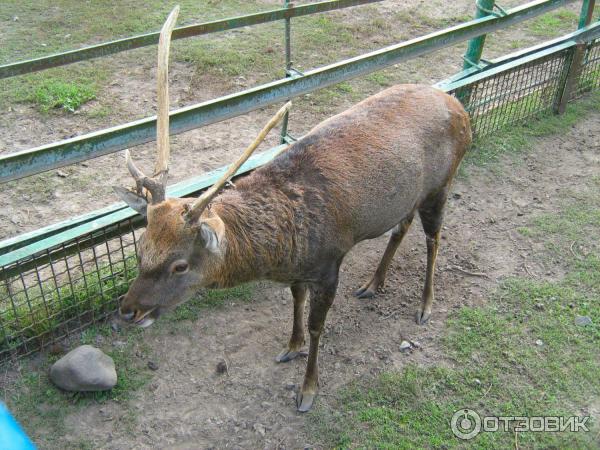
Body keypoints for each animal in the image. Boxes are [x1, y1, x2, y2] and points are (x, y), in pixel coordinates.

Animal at [115, 7, 472, 414]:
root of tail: (461, 108)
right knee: (402, 225)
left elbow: (318, 326)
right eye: (140, 250)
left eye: (180, 265)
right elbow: (295, 302)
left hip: (443, 183)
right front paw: (291, 346)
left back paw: (425, 304)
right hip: (409, 195)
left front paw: (308, 389)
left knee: (434, 238)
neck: (285, 248)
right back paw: (373, 284)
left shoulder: (330, 261)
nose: (128, 310)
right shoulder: (301, 270)